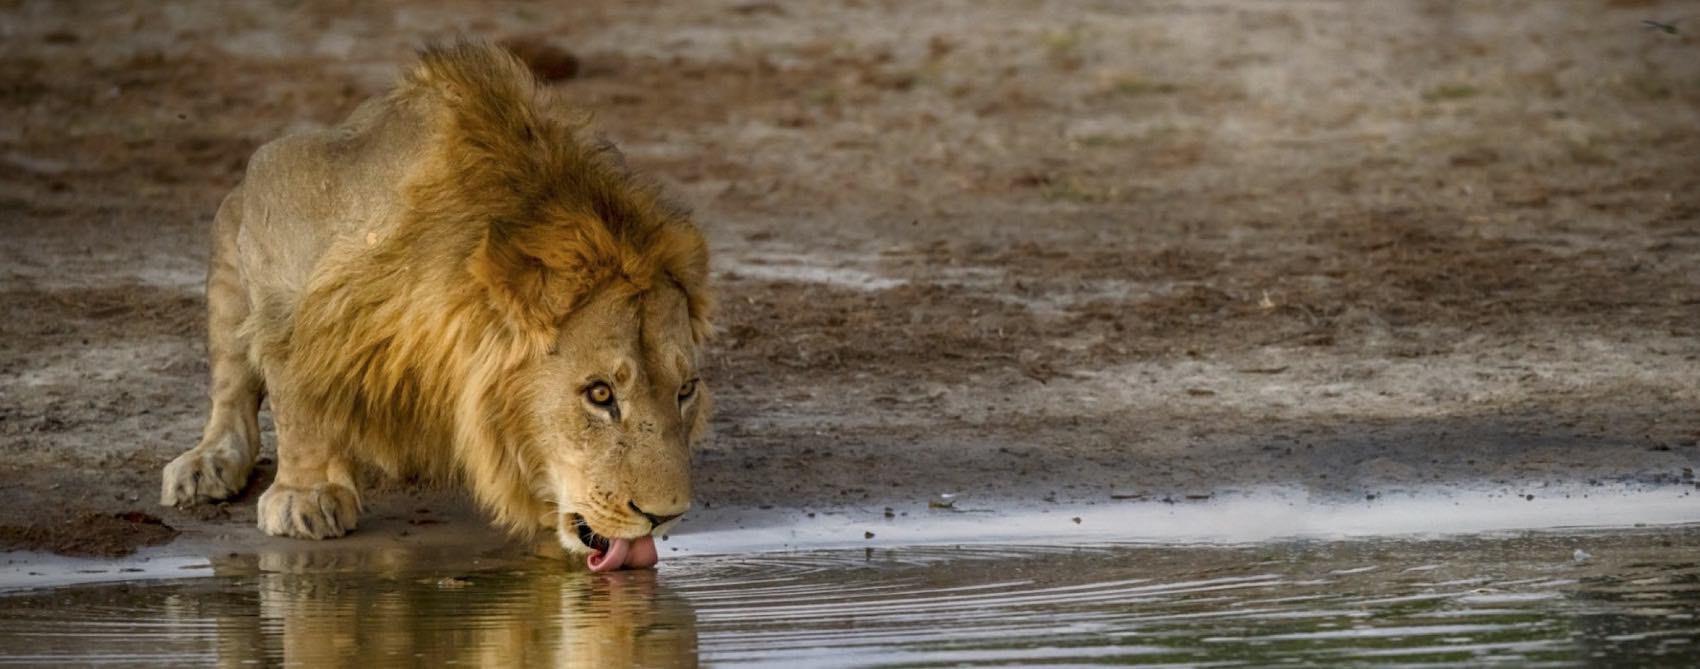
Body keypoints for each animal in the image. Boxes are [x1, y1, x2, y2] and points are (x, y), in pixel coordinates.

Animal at [159, 41, 710, 573]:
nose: (665, 516)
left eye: (685, 391)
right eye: (599, 394)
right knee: (232, 381)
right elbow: (294, 386)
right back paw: (206, 465)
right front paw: (306, 494)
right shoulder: (280, 194)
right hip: (229, 230)